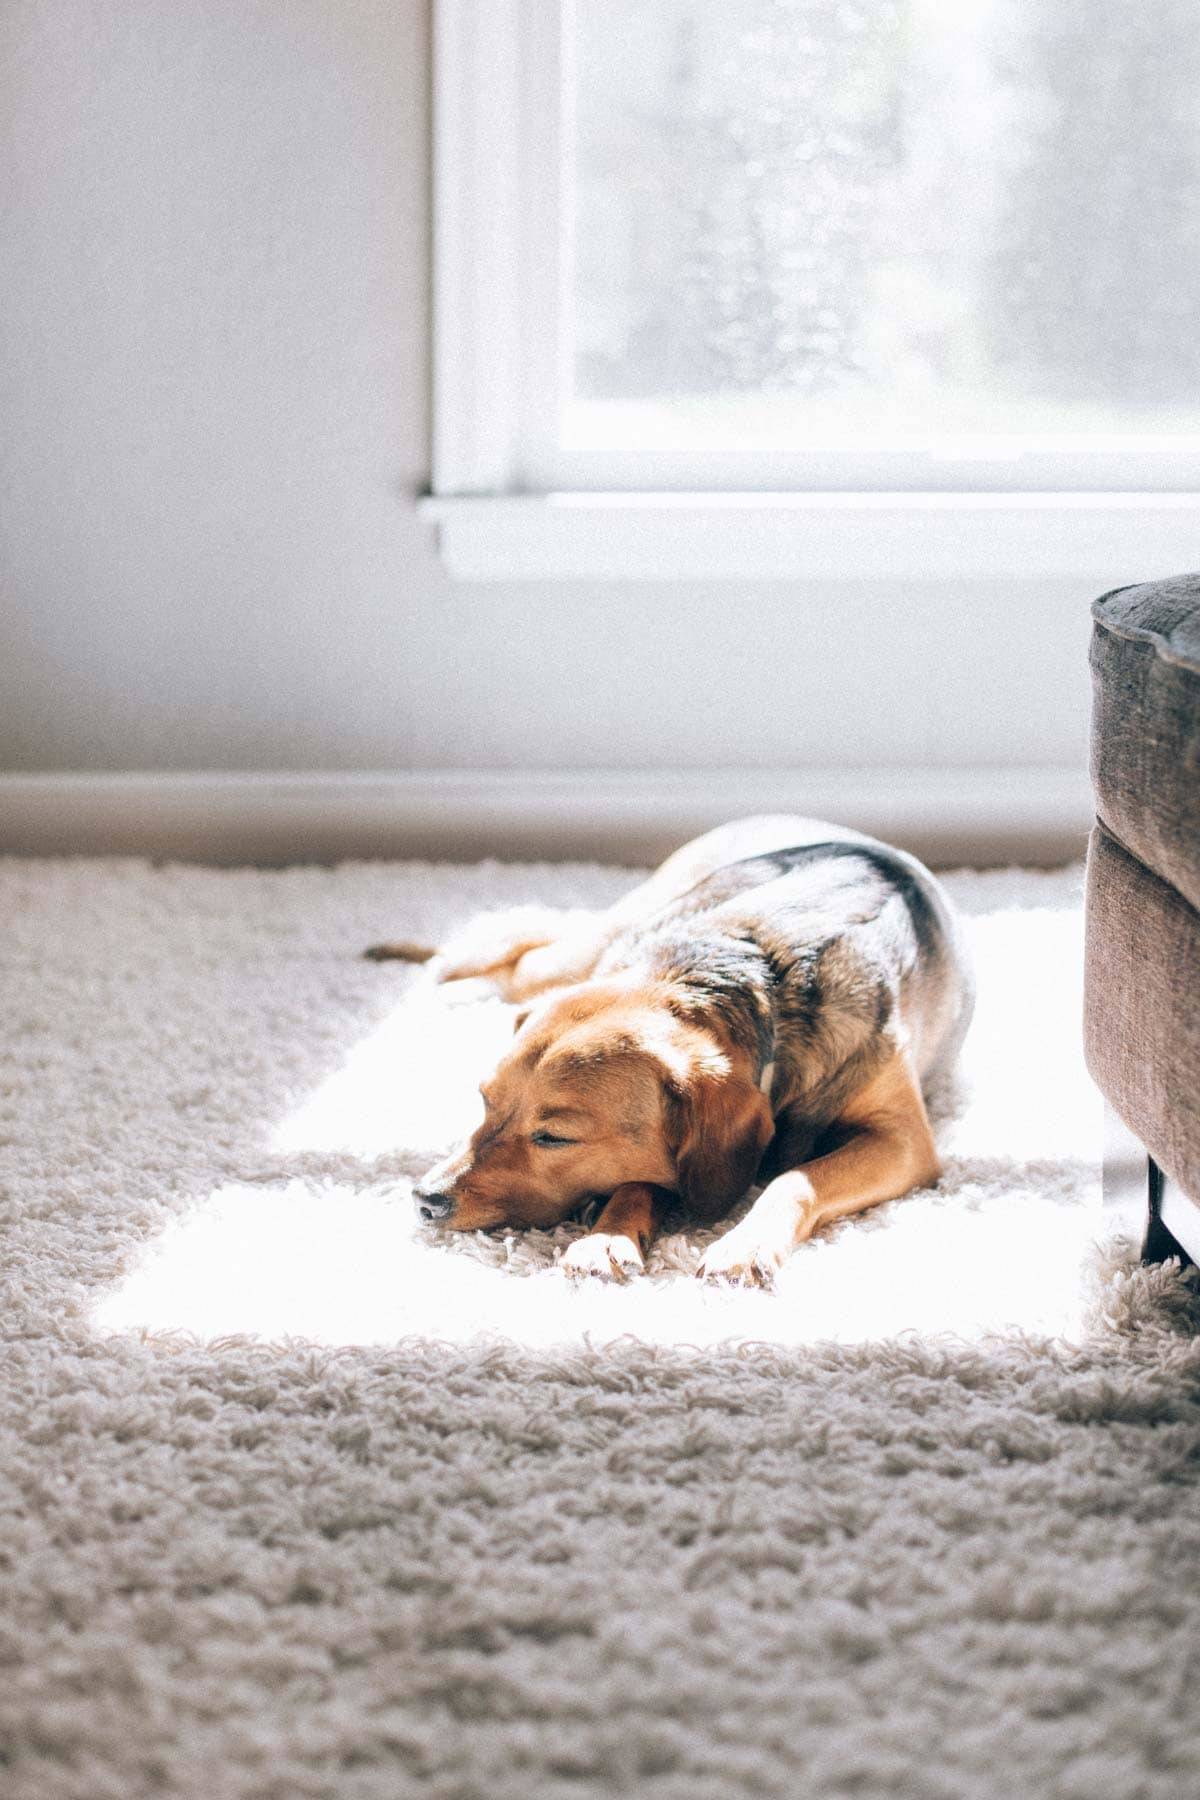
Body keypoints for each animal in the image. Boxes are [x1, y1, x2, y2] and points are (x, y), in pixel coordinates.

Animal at [368, 817, 978, 1281]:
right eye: (483, 1102)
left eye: (554, 1137)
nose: (425, 1199)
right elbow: (638, 1181)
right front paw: (609, 1230)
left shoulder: (902, 1142)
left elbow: (795, 1178)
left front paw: (744, 1241)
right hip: (588, 950)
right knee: (516, 954)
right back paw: (440, 976)